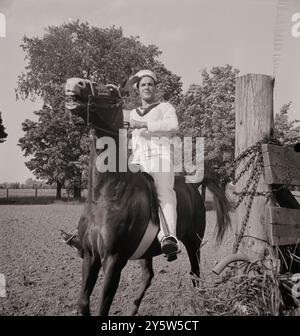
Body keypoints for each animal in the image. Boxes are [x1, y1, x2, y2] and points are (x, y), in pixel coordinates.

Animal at [63, 78, 232, 316]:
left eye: (111, 90)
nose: (74, 83)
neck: (105, 195)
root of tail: (194, 185)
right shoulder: (90, 256)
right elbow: (83, 302)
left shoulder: (113, 260)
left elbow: (103, 306)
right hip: (148, 252)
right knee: (148, 276)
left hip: (193, 243)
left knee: (195, 274)